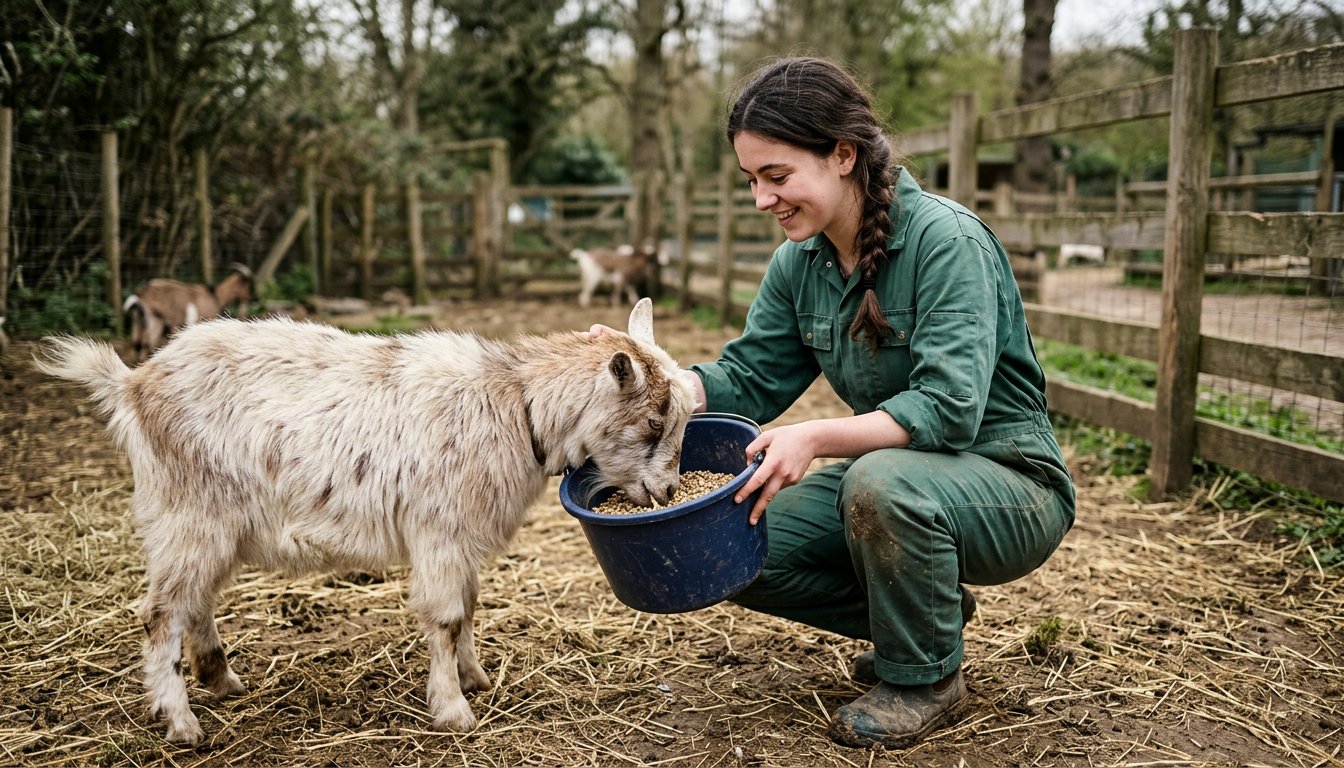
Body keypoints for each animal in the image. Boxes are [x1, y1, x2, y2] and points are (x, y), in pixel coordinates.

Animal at [34, 298, 695, 746]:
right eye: (653, 423)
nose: (668, 490)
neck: (516, 405)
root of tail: (132, 382)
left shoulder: (459, 538)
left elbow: (469, 606)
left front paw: (475, 677)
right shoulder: (439, 531)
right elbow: (446, 618)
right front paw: (453, 711)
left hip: (211, 523)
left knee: (194, 600)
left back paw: (220, 679)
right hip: (190, 513)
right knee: (159, 612)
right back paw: (181, 720)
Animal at [122, 263, 253, 362]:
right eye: (247, 284)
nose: (253, 298)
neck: (214, 295)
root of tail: (141, 293)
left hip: (137, 320)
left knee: (135, 343)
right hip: (155, 318)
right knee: (149, 343)